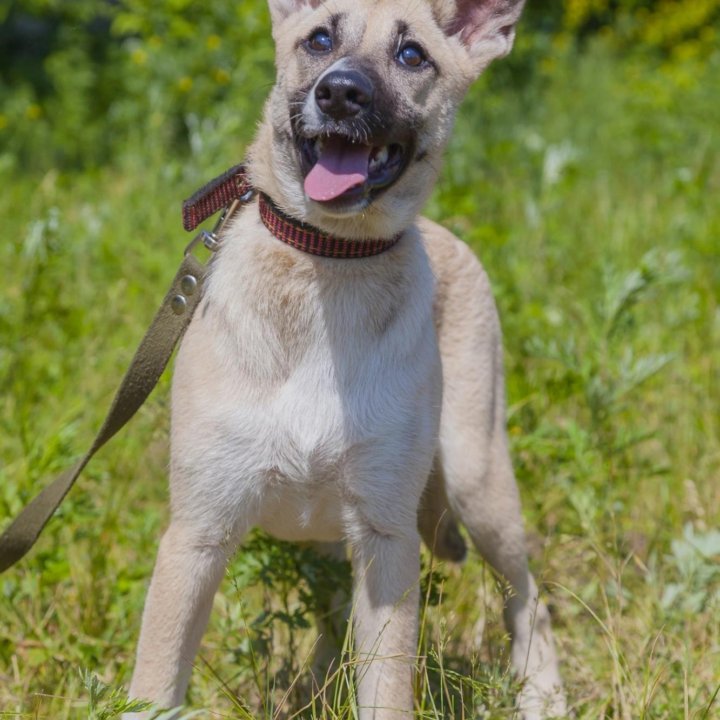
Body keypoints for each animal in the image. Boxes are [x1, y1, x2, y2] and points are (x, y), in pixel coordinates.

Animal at [128, 2, 568, 716]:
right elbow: (156, 683)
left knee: (527, 595)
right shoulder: (196, 535)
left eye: (413, 55)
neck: (328, 260)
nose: (338, 93)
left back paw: (543, 692)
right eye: (319, 40)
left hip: (478, 483)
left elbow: (385, 685)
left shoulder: (388, 542)